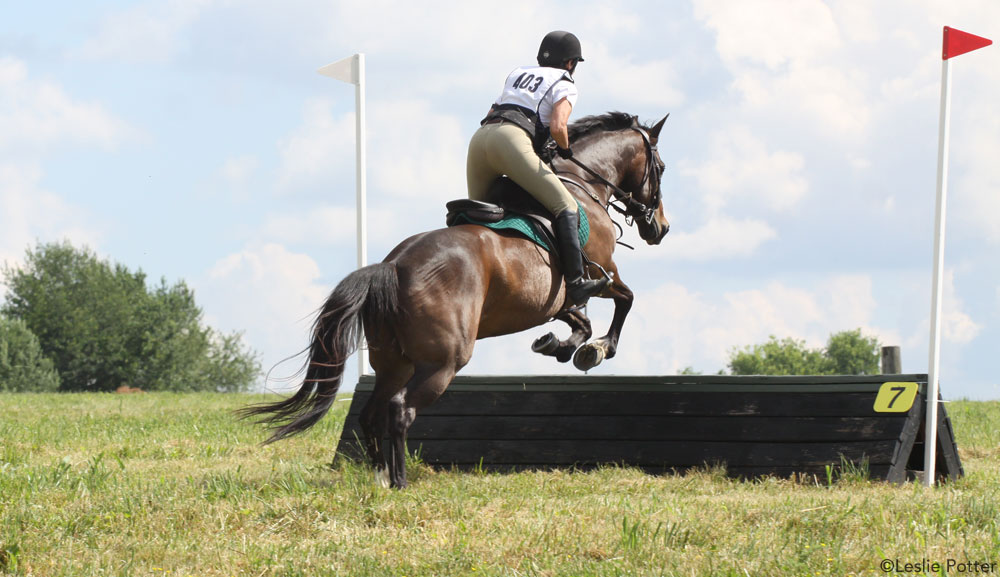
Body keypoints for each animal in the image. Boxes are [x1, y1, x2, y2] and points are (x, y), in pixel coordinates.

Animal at [238, 111, 668, 486]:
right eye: (661, 169)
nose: (660, 228)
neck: (581, 182)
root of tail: (392, 267)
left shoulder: (556, 301)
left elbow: (581, 321)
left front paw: (558, 346)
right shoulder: (603, 273)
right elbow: (625, 300)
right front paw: (597, 350)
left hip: (394, 362)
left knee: (371, 414)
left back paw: (379, 477)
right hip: (443, 361)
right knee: (399, 410)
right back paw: (399, 481)